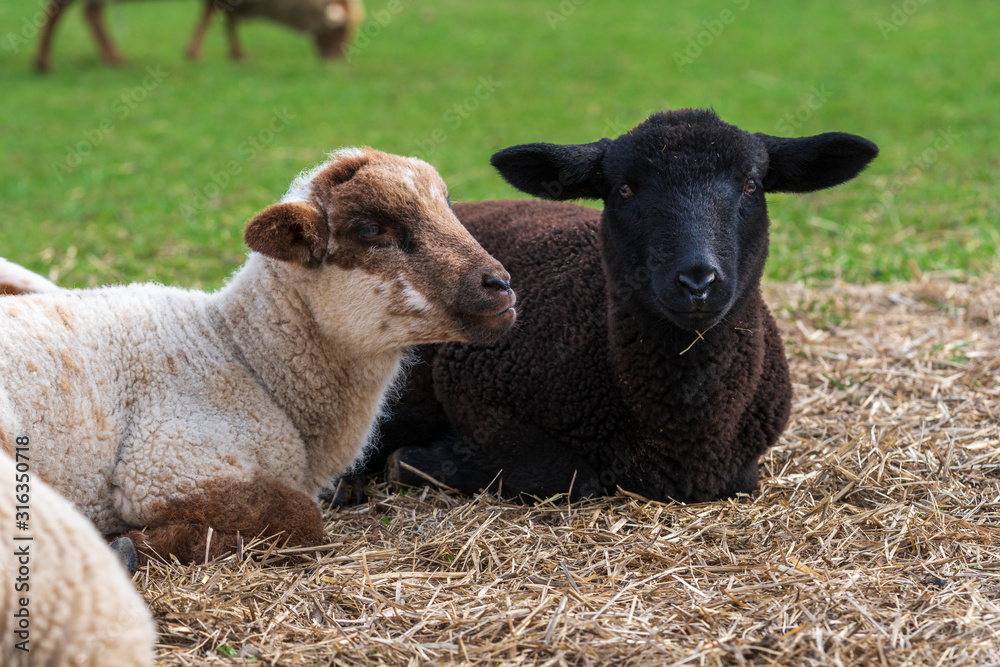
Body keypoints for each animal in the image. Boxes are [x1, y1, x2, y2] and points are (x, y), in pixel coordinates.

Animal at [0, 147, 516, 567]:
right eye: (372, 229)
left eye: (447, 207)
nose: (502, 285)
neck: (244, 355)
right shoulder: (167, 464)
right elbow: (301, 518)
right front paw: (128, 546)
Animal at [369, 109, 878, 503]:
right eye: (625, 189)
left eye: (752, 185)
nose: (698, 281)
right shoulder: (475, 389)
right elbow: (569, 477)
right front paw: (418, 460)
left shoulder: (742, 465)